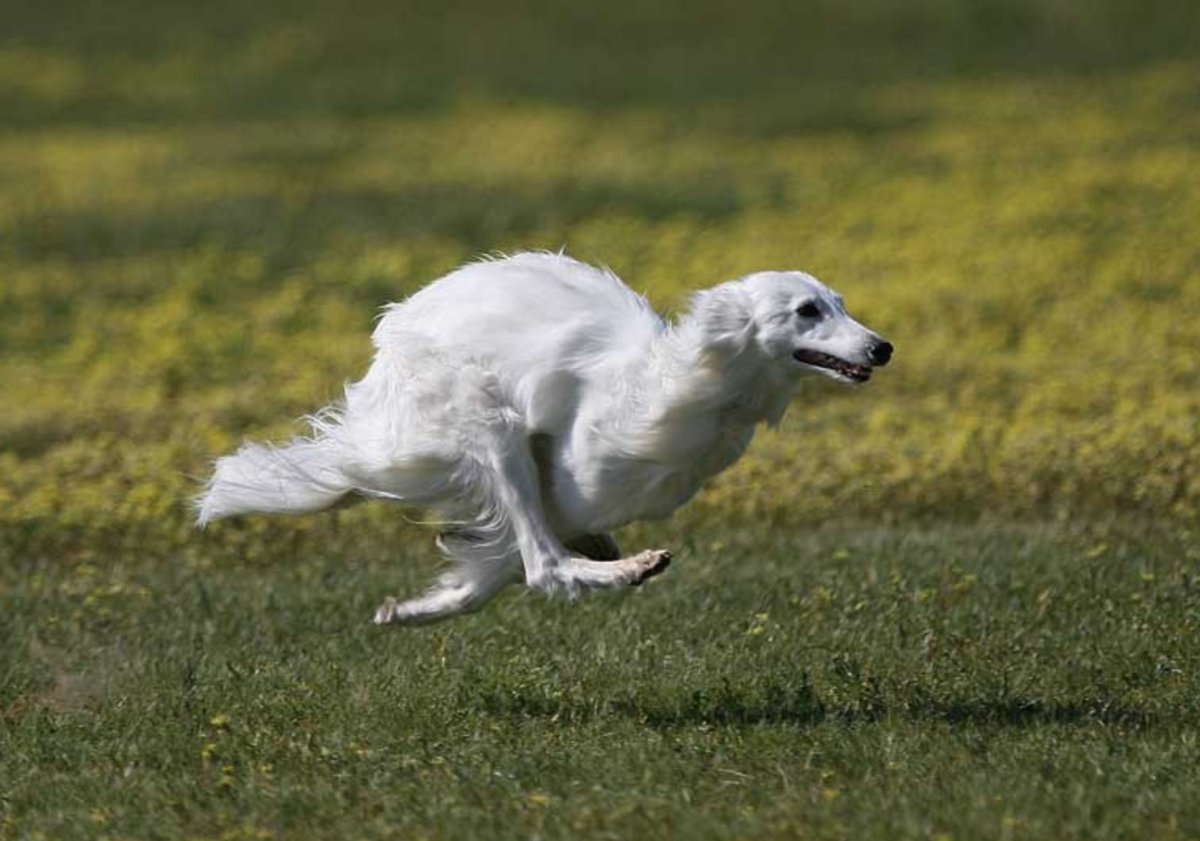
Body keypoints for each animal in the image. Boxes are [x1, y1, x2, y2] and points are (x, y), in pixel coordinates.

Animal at [196, 253, 892, 628]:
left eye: (839, 302)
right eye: (807, 310)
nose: (882, 347)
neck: (685, 390)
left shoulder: (572, 507)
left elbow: (480, 575)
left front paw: (420, 600)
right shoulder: (561, 487)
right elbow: (539, 566)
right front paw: (616, 566)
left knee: (505, 577)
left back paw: (406, 612)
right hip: (490, 423)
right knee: (543, 566)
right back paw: (629, 567)